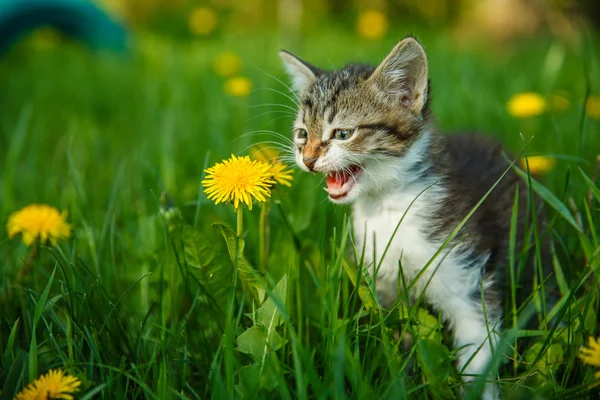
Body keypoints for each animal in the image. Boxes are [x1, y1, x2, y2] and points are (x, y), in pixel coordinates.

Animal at [282, 36, 540, 398]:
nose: (307, 159)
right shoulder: (383, 283)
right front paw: (398, 382)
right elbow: (397, 340)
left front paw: (480, 390)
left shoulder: (465, 273)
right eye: (303, 134)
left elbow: (478, 344)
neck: (387, 206)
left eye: (343, 133)